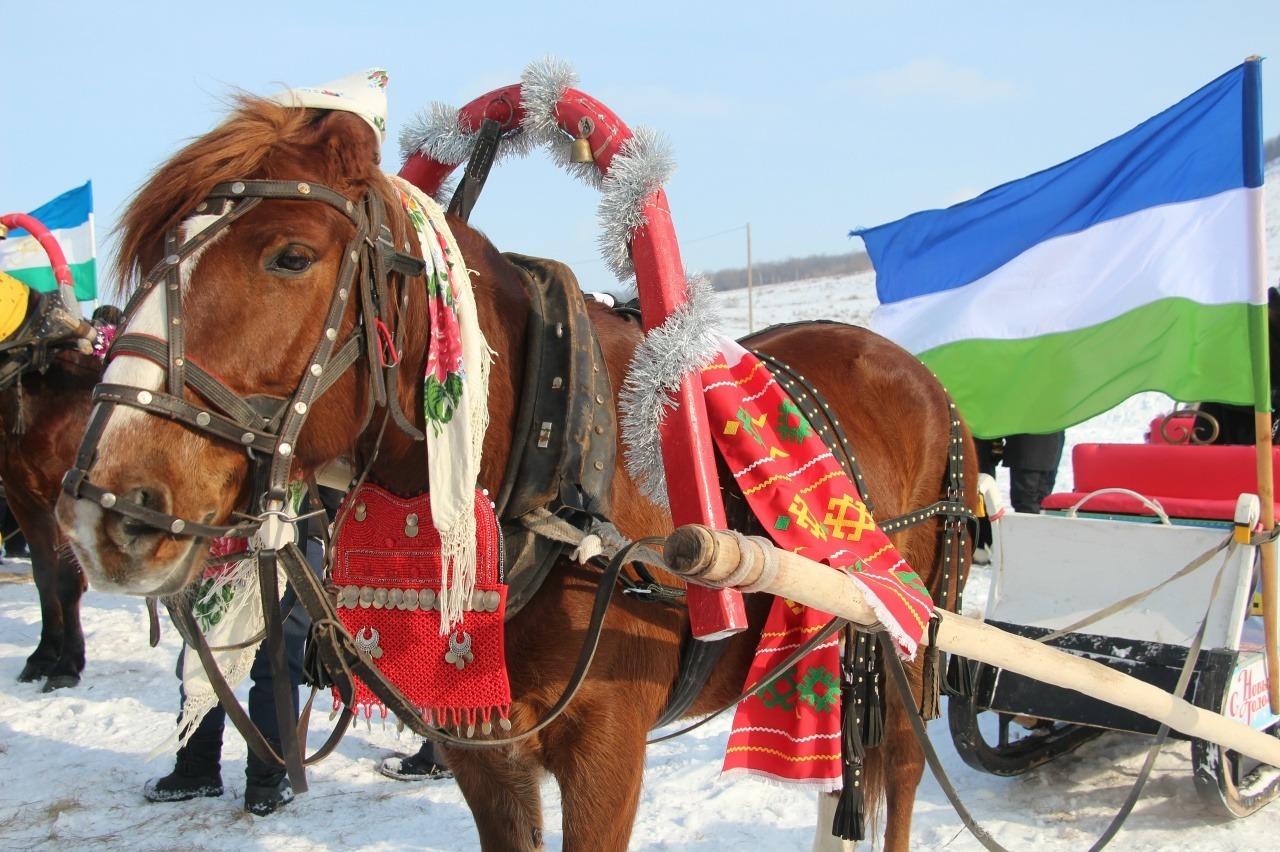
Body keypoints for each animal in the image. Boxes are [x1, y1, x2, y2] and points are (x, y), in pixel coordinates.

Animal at [56, 96, 977, 850]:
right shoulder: (482, 746)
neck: (550, 468)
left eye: (289, 256)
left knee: (899, 769)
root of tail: (924, 377)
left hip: (911, 632)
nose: (105, 510)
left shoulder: (606, 747)